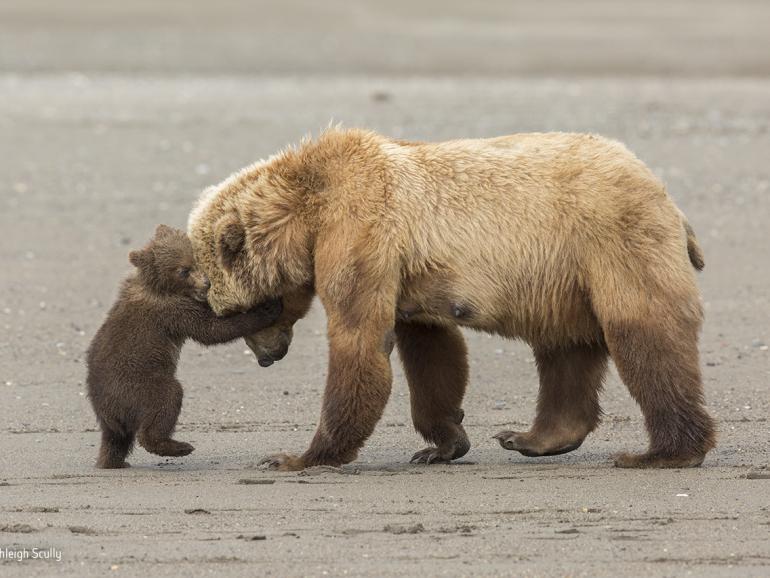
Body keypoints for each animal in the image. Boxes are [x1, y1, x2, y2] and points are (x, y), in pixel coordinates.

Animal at [186, 126, 712, 468]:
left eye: (244, 312)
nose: (267, 357)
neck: (309, 211)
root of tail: (664, 192)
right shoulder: (408, 275)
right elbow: (432, 352)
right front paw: (441, 444)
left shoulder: (360, 232)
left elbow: (359, 339)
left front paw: (298, 456)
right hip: (563, 280)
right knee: (565, 349)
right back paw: (531, 437)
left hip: (610, 239)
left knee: (644, 332)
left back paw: (664, 452)